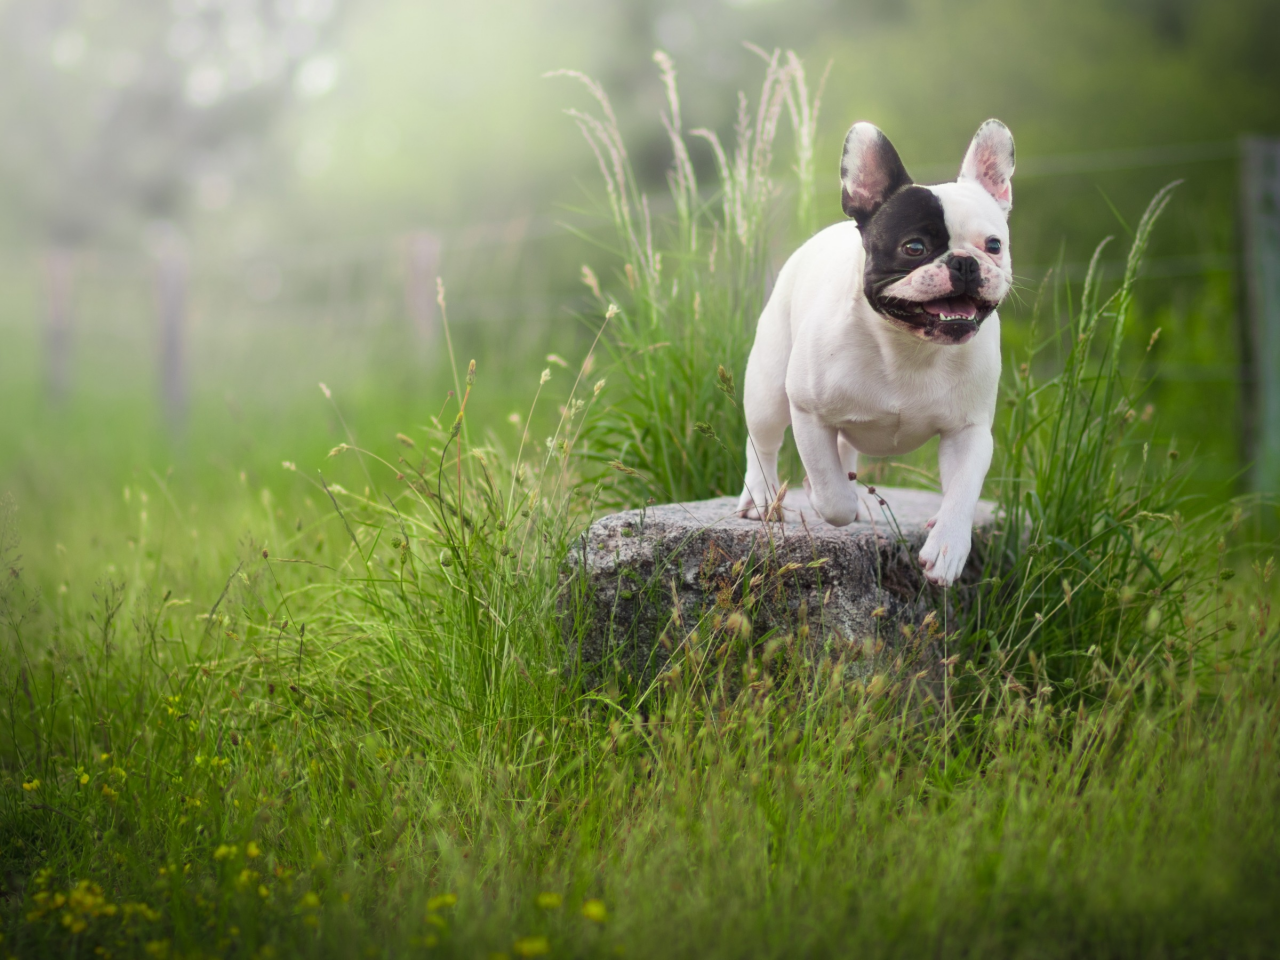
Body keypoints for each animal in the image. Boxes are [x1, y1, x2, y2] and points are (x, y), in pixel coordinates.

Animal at [737, 120, 1013, 586]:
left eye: (993, 245)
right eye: (915, 247)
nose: (964, 262)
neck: (909, 346)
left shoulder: (970, 430)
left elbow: (962, 491)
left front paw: (947, 545)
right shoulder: (809, 413)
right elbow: (832, 495)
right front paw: (826, 500)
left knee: (842, 450)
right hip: (768, 389)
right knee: (763, 444)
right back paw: (760, 498)